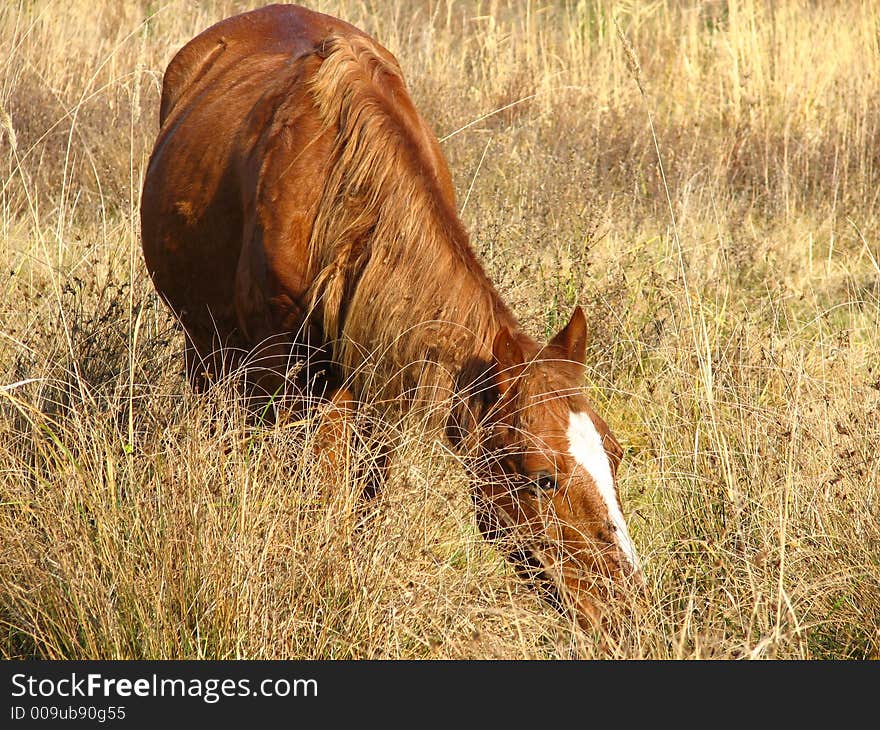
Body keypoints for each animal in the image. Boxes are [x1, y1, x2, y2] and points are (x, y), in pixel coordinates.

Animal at [141, 2, 644, 628]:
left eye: (615, 454)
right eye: (543, 477)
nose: (624, 605)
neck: (338, 194)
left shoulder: (382, 382)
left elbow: (365, 499)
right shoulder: (284, 383)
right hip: (210, 350)